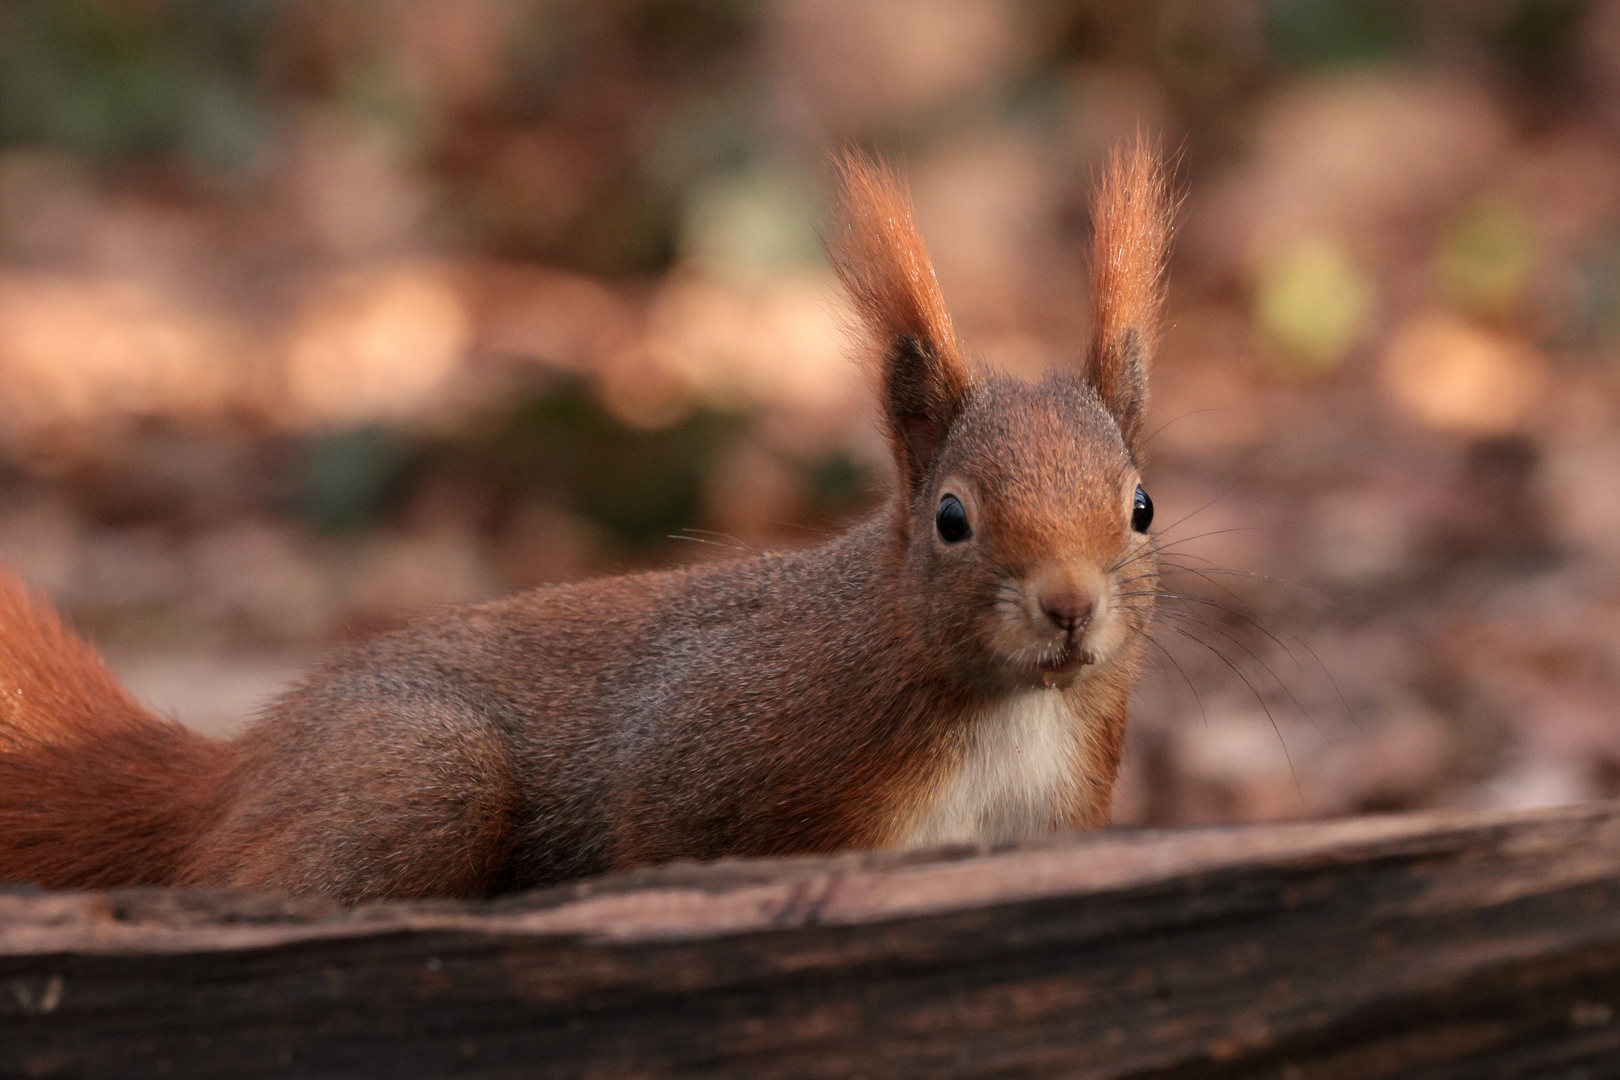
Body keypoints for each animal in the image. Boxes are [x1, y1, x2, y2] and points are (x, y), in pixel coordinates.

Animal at [0, 143, 1166, 906]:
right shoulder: (708, 749)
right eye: (952, 518)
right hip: (416, 772)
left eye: (1142, 506)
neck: (1005, 716)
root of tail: (237, 772)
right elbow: (649, 837)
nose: (1069, 605)